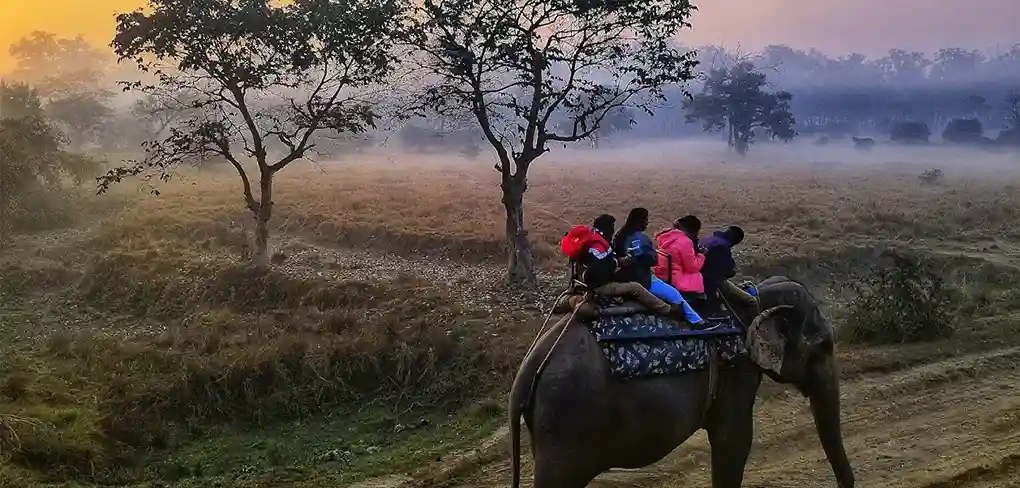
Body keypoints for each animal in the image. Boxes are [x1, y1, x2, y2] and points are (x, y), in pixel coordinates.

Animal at [507, 275, 852, 488]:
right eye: (823, 345)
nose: (847, 482)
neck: (753, 300)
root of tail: (527, 369)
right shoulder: (735, 370)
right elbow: (734, 441)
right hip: (567, 423)